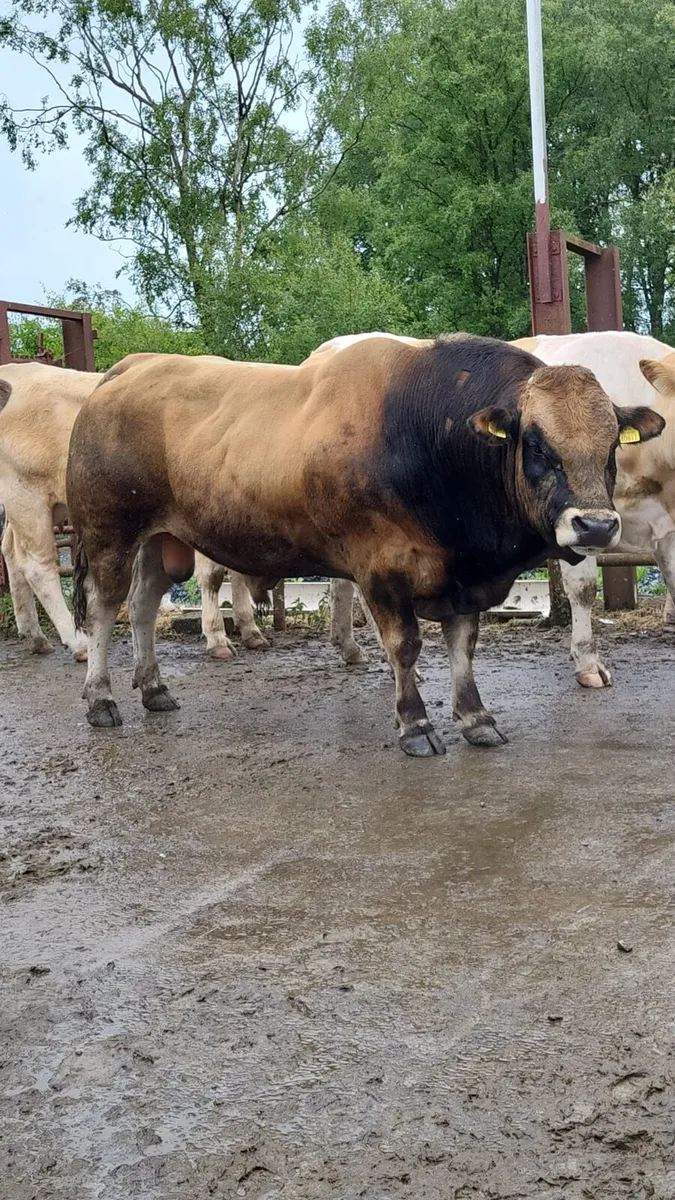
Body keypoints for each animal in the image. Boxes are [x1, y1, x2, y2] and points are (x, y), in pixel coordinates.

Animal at [0, 362, 271, 660]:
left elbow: (238, 570)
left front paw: (250, 630)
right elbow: (214, 574)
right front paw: (217, 637)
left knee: (10, 550)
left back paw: (34, 635)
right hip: (27, 495)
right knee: (38, 566)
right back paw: (77, 642)